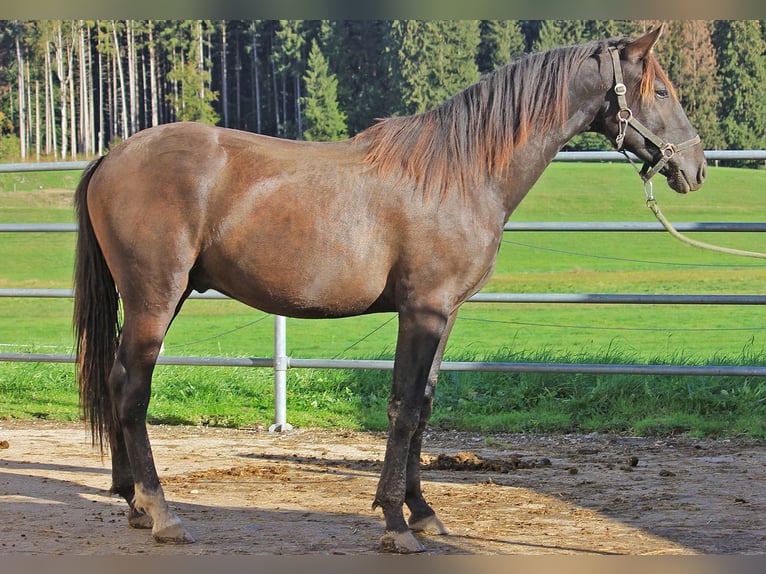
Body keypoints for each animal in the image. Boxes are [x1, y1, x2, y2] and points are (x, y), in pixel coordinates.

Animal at [72, 25, 708, 552]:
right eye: (660, 91)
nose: (696, 168)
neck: (460, 172)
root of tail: (111, 156)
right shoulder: (420, 312)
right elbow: (402, 409)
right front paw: (397, 525)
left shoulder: (446, 314)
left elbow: (423, 406)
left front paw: (422, 512)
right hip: (156, 299)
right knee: (132, 392)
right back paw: (162, 513)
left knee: (115, 380)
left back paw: (133, 503)